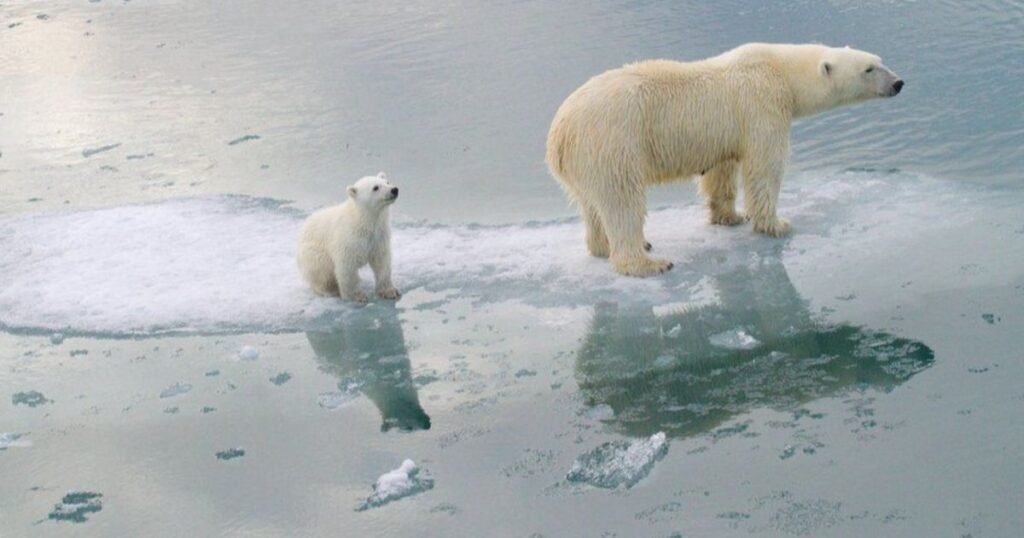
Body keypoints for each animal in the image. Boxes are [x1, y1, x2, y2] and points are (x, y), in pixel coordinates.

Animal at [297, 172, 401, 303]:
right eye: (375, 187)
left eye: (387, 182)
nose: (394, 190)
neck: (363, 221)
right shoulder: (348, 238)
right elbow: (347, 266)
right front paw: (358, 296)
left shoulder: (378, 237)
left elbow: (382, 262)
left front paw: (390, 292)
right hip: (312, 253)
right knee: (321, 270)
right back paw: (329, 290)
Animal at [545, 43, 904, 277]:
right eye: (869, 69)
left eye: (879, 60)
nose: (899, 83)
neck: (780, 68)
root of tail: (559, 134)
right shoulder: (762, 105)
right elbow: (765, 167)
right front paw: (776, 224)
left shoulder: (726, 132)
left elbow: (721, 171)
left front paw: (730, 217)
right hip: (612, 142)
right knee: (622, 201)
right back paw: (648, 261)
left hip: (584, 161)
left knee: (592, 206)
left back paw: (603, 247)